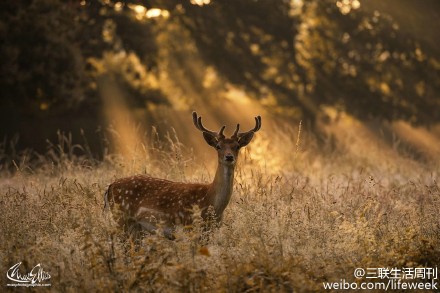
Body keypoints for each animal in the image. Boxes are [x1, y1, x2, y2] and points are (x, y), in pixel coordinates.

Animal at [104, 111, 262, 237]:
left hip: (134, 226)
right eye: (218, 146)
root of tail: (110, 186)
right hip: (121, 217)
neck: (210, 201)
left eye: (237, 146)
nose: (229, 157)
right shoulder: (188, 225)